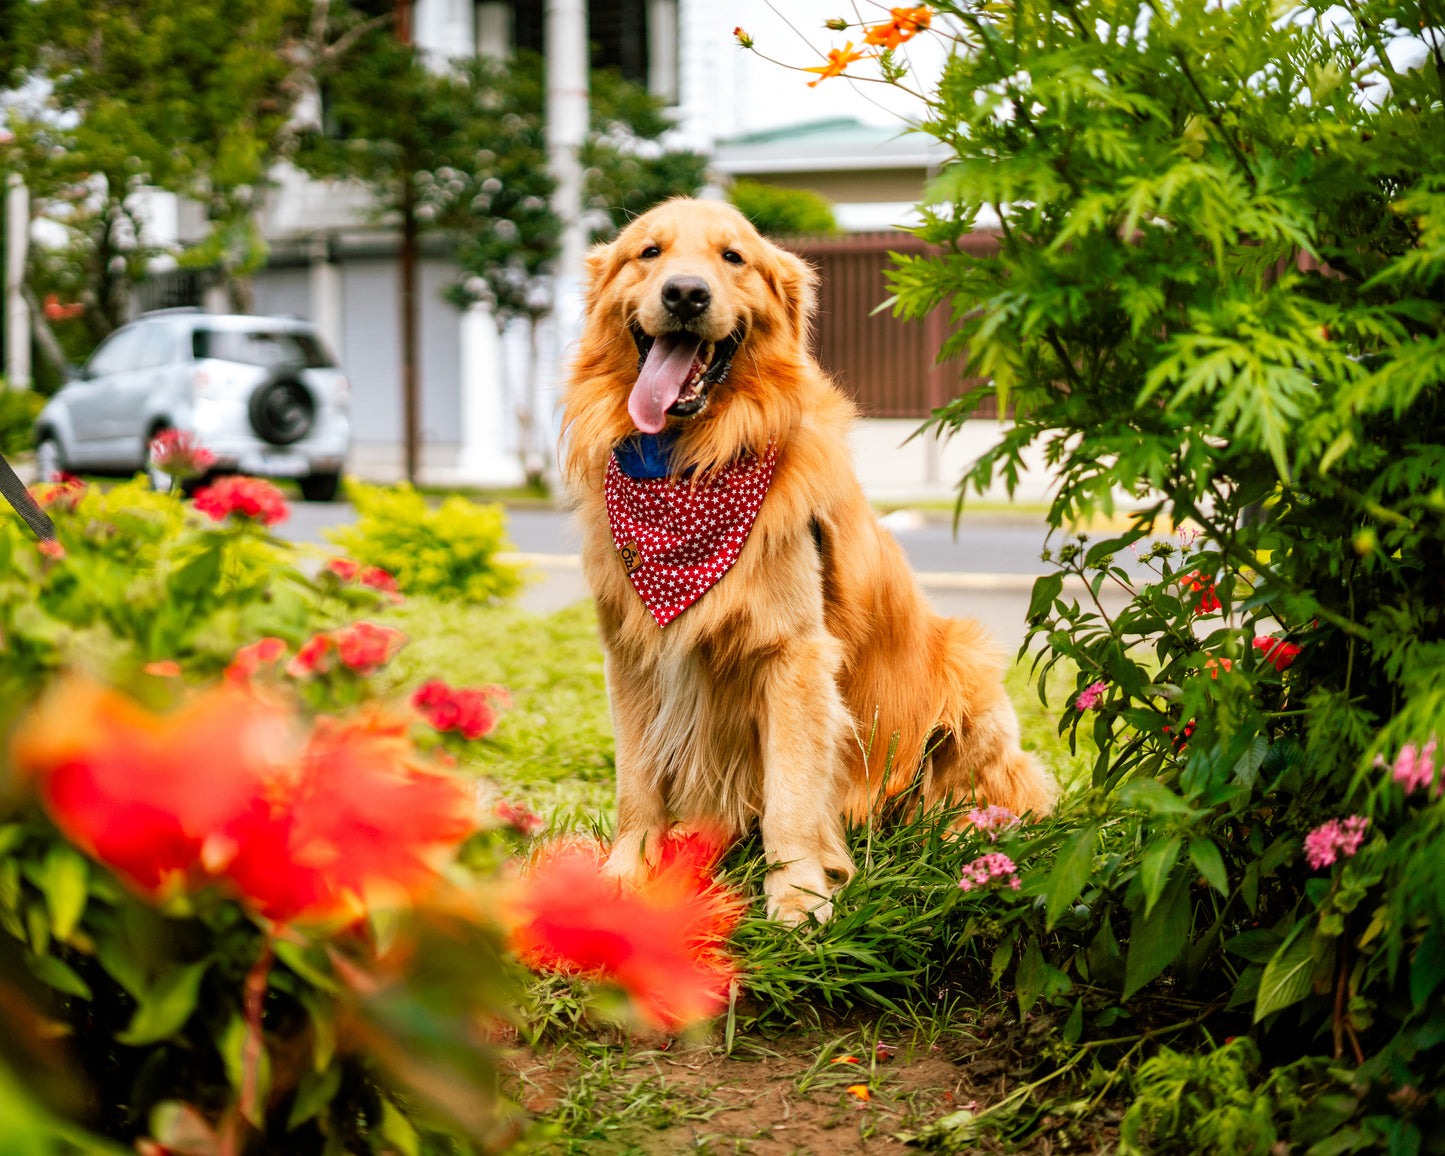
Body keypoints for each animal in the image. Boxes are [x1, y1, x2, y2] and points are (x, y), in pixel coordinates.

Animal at [560, 196, 1051, 919]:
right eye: (648, 253)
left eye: (733, 257)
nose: (685, 293)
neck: (686, 463)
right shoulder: (629, 653)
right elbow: (637, 785)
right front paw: (627, 873)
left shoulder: (793, 655)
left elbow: (791, 795)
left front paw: (796, 899)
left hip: (970, 668)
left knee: (1008, 796)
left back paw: (967, 831)